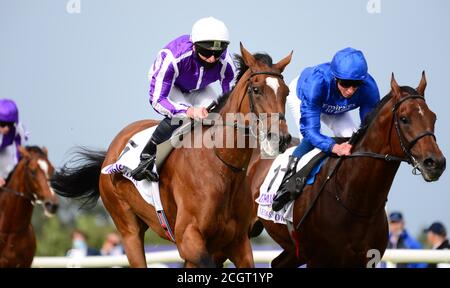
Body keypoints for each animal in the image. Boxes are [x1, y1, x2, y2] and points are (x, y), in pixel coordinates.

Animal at [51, 44, 294, 268]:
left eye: (286, 92)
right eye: (256, 89)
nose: (280, 138)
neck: (222, 167)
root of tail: (110, 152)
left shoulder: (237, 243)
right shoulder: (189, 239)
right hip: (127, 228)